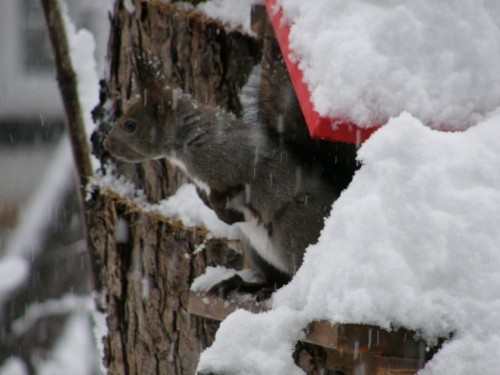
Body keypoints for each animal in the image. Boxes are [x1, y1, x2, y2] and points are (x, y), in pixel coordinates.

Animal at [103, 50, 358, 296]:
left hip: (293, 228)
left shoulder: (234, 160)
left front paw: (223, 211)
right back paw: (243, 285)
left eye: (130, 125)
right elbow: (206, 195)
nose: (107, 145)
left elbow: (230, 188)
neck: (190, 135)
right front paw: (213, 205)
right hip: (255, 251)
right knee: (274, 278)